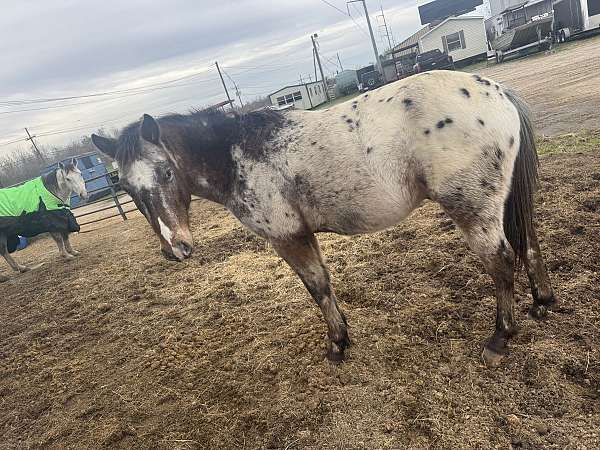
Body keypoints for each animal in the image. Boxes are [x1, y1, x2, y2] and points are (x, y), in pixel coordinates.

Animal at [91, 69, 556, 366]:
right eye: (127, 189)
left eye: (166, 173)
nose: (175, 248)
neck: (235, 152)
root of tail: (497, 91)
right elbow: (325, 285)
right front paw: (343, 335)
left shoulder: (288, 236)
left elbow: (316, 287)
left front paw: (336, 346)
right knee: (528, 242)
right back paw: (542, 304)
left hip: (472, 208)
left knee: (502, 261)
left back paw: (499, 339)